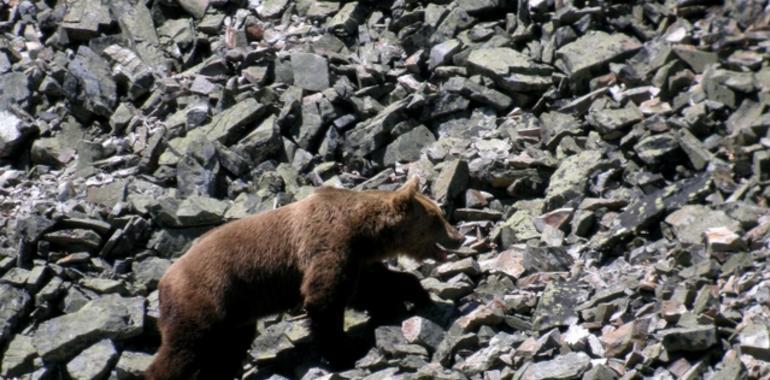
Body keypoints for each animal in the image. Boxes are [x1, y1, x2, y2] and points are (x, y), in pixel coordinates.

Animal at [144, 178, 462, 380]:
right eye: (437, 217)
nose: (457, 236)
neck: (365, 232)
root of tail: (163, 282)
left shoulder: (358, 260)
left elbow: (374, 286)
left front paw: (419, 297)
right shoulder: (327, 243)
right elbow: (324, 299)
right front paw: (345, 352)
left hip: (234, 315)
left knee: (227, 349)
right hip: (205, 297)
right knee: (184, 347)